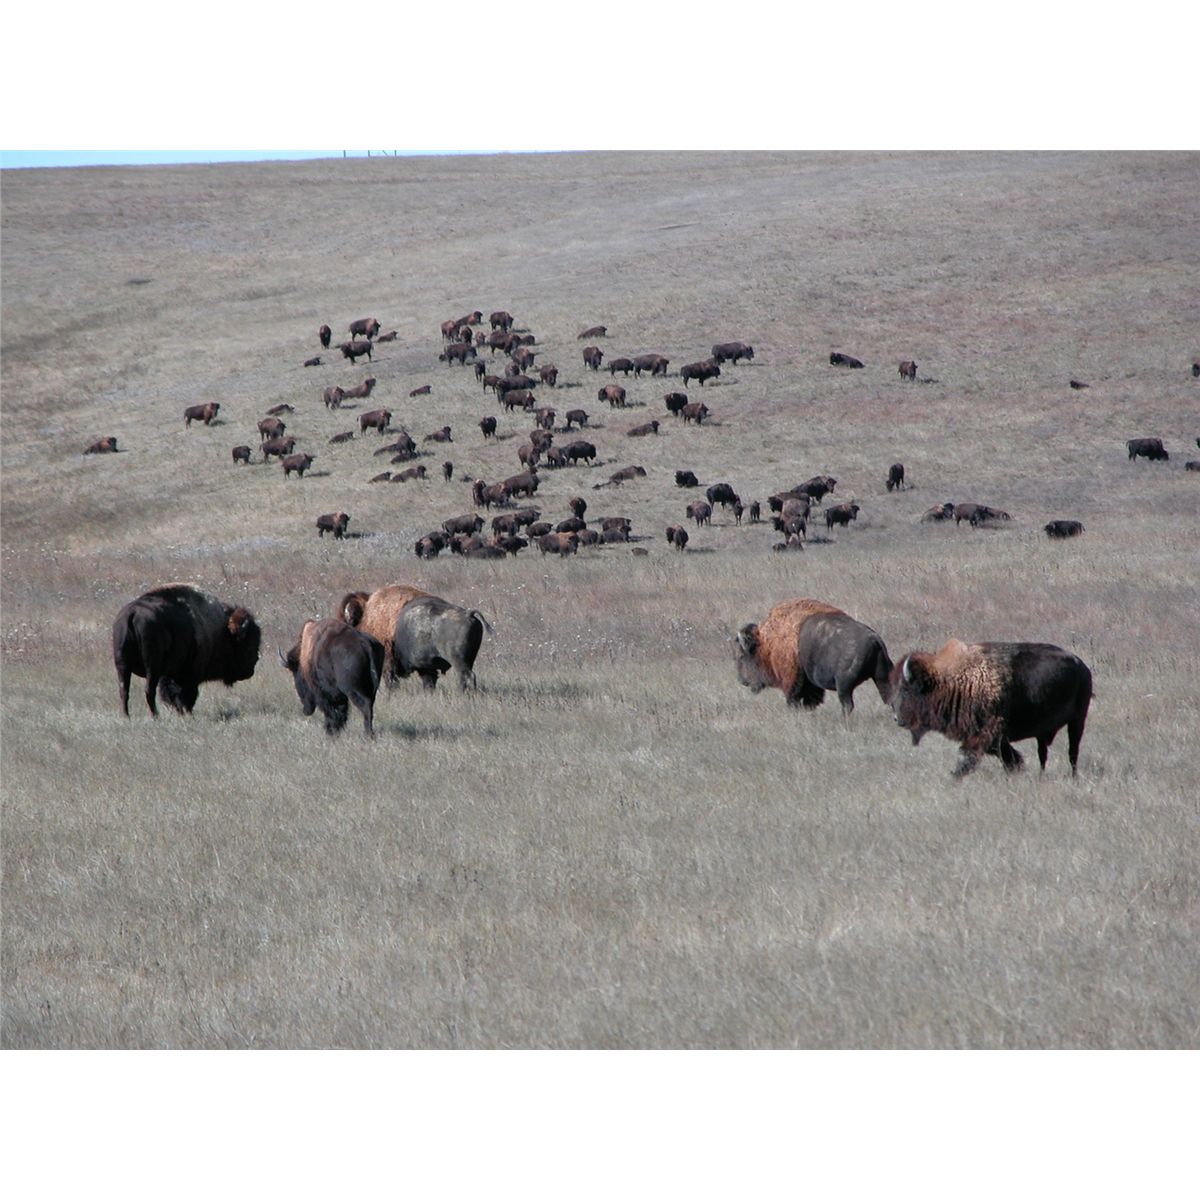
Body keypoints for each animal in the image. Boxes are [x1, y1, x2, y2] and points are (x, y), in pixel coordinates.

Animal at [113, 584, 261, 717]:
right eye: (249, 646)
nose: (251, 670)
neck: (221, 631)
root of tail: (132, 614)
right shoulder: (189, 675)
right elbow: (186, 694)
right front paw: (186, 712)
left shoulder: (169, 674)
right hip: (151, 668)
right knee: (149, 690)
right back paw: (156, 716)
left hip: (123, 666)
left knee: (124, 690)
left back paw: (126, 716)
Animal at [735, 598, 893, 717]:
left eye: (742, 656)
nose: (742, 680)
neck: (767, 643)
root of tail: (874, 640)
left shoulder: (793, 681)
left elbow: (794, 698)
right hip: (881, 677)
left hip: (844, 686)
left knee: (847, 704)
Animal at [889, 641, 1093, 776]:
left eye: (906, 689)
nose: (896, 718)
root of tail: (1082, 666)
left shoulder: (988, 733)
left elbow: (970, 756)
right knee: (1043, 754)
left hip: (1078, 721)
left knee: (1072, 752)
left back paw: (1072, 776)